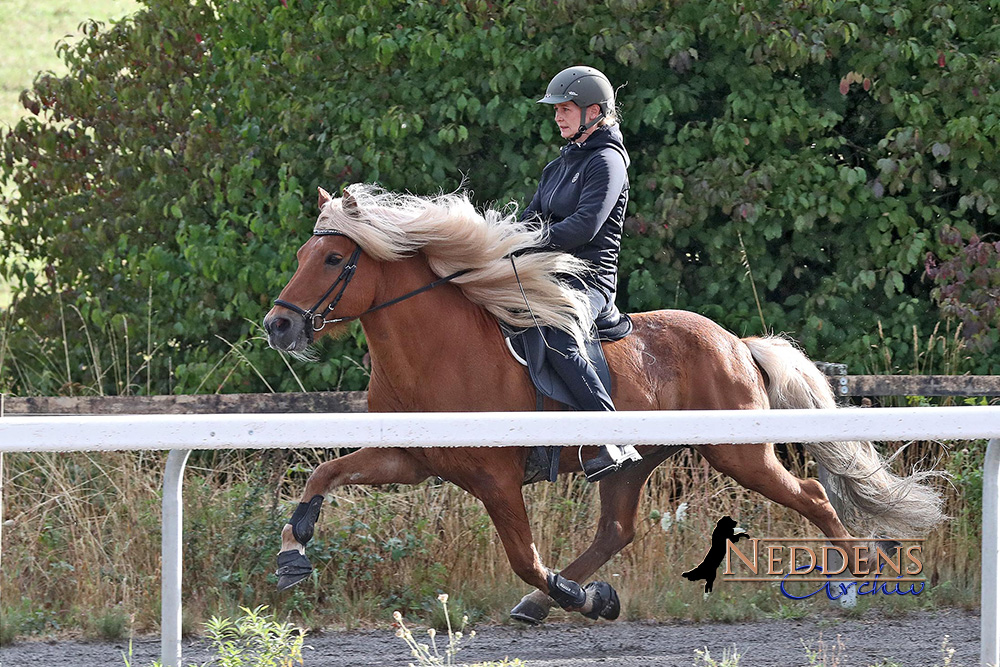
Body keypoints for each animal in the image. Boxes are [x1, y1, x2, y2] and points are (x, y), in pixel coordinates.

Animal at [262, 184, 940, 628]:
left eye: (332, 258)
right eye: (299, 256)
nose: (278, 326)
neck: (438, 350)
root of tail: (737, 344)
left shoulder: (495, 479)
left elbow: (525, 559)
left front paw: (590, 600)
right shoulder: (409, 459)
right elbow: (325, 474)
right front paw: (293, 553)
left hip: (738, 453)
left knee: (814, 494)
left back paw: (853, 577)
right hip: (633, 463)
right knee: (617, 529)